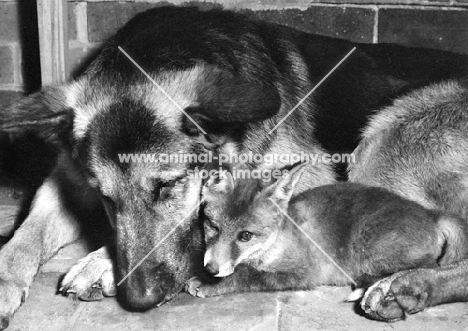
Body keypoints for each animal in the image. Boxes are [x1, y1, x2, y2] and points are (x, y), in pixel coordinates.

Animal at [186, 165, 468, 312]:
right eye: (212, 226)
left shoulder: (304, 272)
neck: (272, 245)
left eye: (245, 236)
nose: (210, 269)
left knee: (427, 268)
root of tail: (431, 213)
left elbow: (247, 275)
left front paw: (209, 284)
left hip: (368, 249)